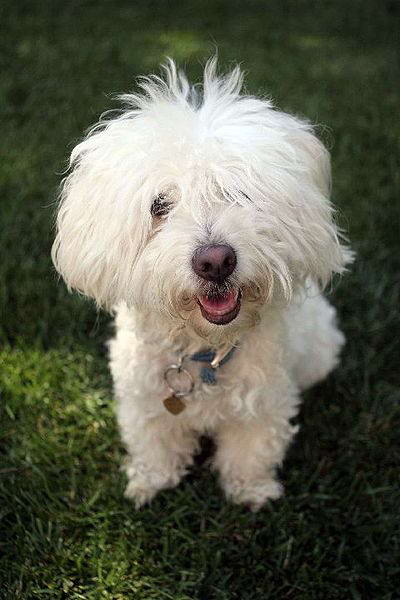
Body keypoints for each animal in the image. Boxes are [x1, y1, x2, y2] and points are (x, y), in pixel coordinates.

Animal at [51, 57, 352, 510]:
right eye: (159, 206)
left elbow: (251, 452)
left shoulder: (263, 403)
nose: (215, 262)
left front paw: (252, 492)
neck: (203, 351)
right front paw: (150, 483)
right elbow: (154, 444)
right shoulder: (144, 401)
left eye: (239, 193)